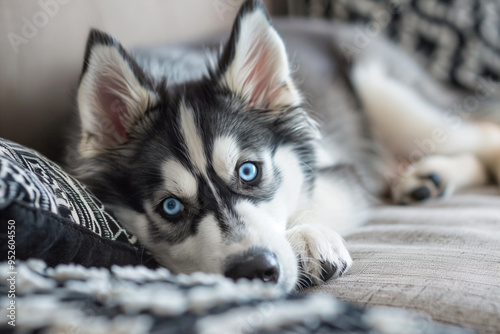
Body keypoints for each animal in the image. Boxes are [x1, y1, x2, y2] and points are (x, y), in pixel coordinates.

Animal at [74, 0, 500, 290]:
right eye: (171, 207)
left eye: (249, 171)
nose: (253, 270)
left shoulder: (338, 169)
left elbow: (313, 199)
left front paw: (307, 237)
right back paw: (430, 177)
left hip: (387, 94)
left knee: (479, 135)